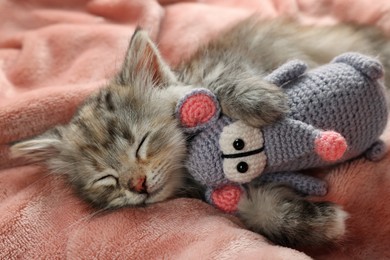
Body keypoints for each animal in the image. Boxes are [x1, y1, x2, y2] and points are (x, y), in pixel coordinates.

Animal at [9, 18, 390, 248]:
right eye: (106, 179)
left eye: (141, 143)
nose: (138, 185)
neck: (188, 177)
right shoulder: (231, 200)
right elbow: (261, 210)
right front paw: (322, 222)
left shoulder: (223, 68)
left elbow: (222, 88)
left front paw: (261, 101)